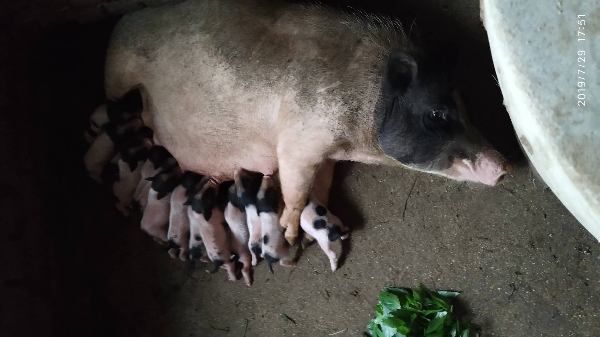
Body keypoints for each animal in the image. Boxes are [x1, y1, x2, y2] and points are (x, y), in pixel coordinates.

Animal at [102, 0, 506, 243]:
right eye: (438, 113)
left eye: (466, 107)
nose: (504, 167)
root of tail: (124, 19)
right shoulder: (300, 139)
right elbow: (296, 185)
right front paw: (292, 235)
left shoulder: (326, 154)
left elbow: (321, 185)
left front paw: (314, 228)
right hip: (116, 74)